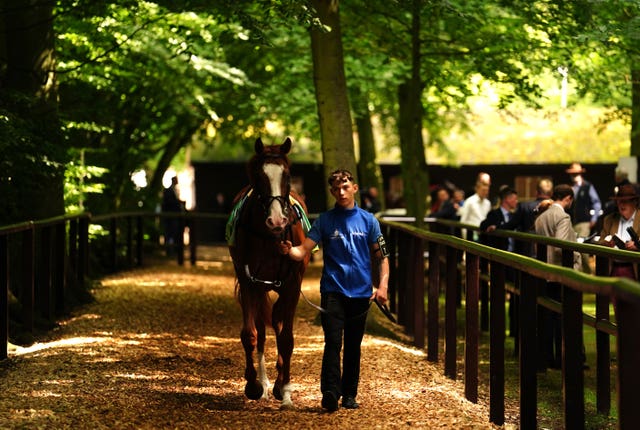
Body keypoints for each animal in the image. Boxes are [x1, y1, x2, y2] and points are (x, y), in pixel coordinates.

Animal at [229, 138, 312, 410]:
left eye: (287, 175)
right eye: (259, 175)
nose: (277, 220)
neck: (269, 238)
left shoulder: (292, 285)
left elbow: (286, 339)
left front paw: (284, 389)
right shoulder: (249, 282)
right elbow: (250, 334)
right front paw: (254, 385)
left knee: (277, 322)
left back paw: (278, 384)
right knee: (263, 329)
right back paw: (265, 383)